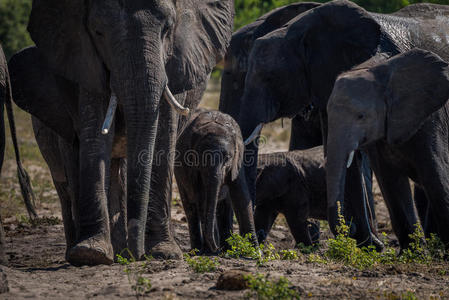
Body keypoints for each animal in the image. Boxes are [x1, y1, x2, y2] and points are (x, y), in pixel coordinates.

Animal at [10, 0, 233, 268]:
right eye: (98, 33)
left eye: (168, 29)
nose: (138, 255)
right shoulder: (84, 64)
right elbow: (94, 134)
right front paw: (90, 253)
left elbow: (163, 134)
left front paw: (163, 253)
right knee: (68, 181)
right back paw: (88, 249)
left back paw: (120, 251)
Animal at [173, 109, 256, 254]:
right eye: (201, 158)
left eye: (227, 158)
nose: (217, 248)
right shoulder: (193, 168)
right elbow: (202, 198)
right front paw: (212, 251)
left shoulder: (237, 161)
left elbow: (241, 196)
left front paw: (257, 252)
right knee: (192, 207)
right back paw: (198, 250)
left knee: (224, 206)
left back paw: (225, 248)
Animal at [326, 48, 448, 246]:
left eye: (361, 116)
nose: (351, 228)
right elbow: (392, 183)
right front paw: (412, 251)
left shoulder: (431, 122)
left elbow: (437, 178)